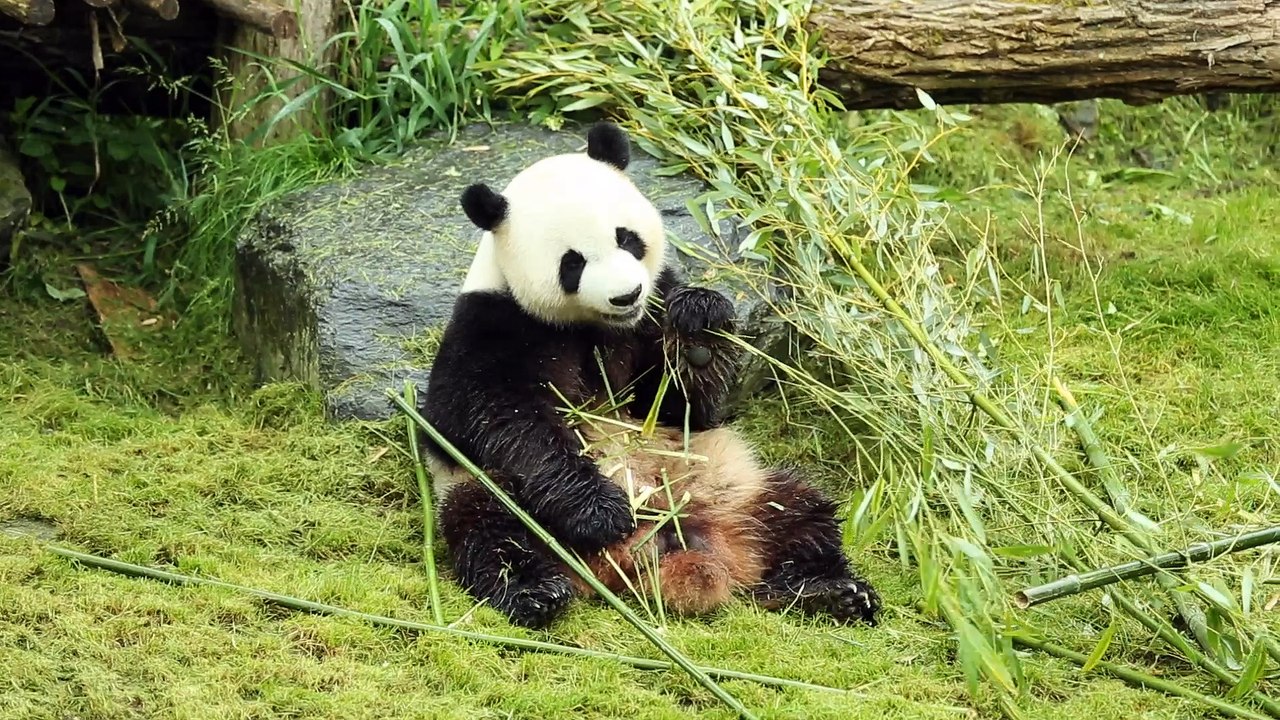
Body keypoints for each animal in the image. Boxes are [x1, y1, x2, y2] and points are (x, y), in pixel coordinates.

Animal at [419, 121, 881, 630]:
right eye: (572, 263)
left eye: (627, 238)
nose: (627, 295)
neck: (597, 325)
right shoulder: (489, 327)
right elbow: (503, 418)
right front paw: (600, 512)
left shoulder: (654, 309)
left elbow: (682, 410)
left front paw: (699, 328)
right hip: (486, 493)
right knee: (491, 529)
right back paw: (536, 591)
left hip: (740, 488)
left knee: (802, 513)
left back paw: (830, 591)